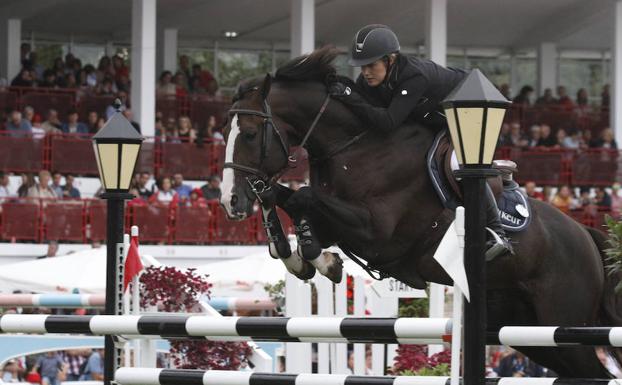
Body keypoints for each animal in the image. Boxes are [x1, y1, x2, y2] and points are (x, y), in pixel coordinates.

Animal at [219, 46, 622, 376]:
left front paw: (317, 258)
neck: (353, 146)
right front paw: (302, 255)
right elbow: (286, 198)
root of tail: (586, 234)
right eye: (225, 130)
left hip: (564, 324)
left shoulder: (376, 232)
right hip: (528, 331)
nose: (230, 201)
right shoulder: (340, 223)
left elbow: (302, 197)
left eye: (250, 134)